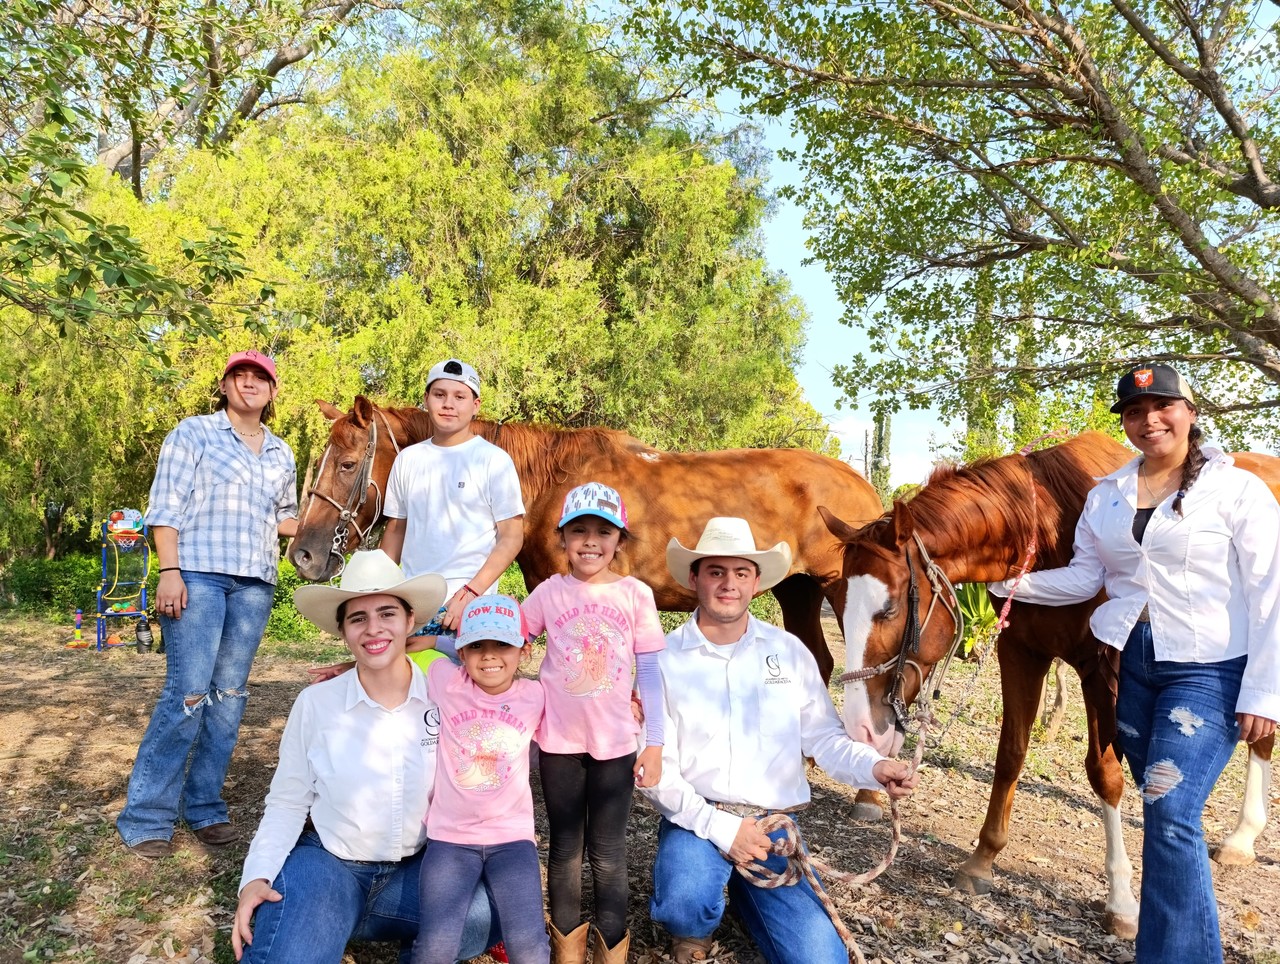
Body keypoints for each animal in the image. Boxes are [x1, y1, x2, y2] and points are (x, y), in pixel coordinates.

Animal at [291, 394, 885, 681]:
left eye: (347, 463)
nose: (304, 554)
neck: (550, 483)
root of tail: (865, 485)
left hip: (839, 592)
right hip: (797, 590)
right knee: (820, 661)